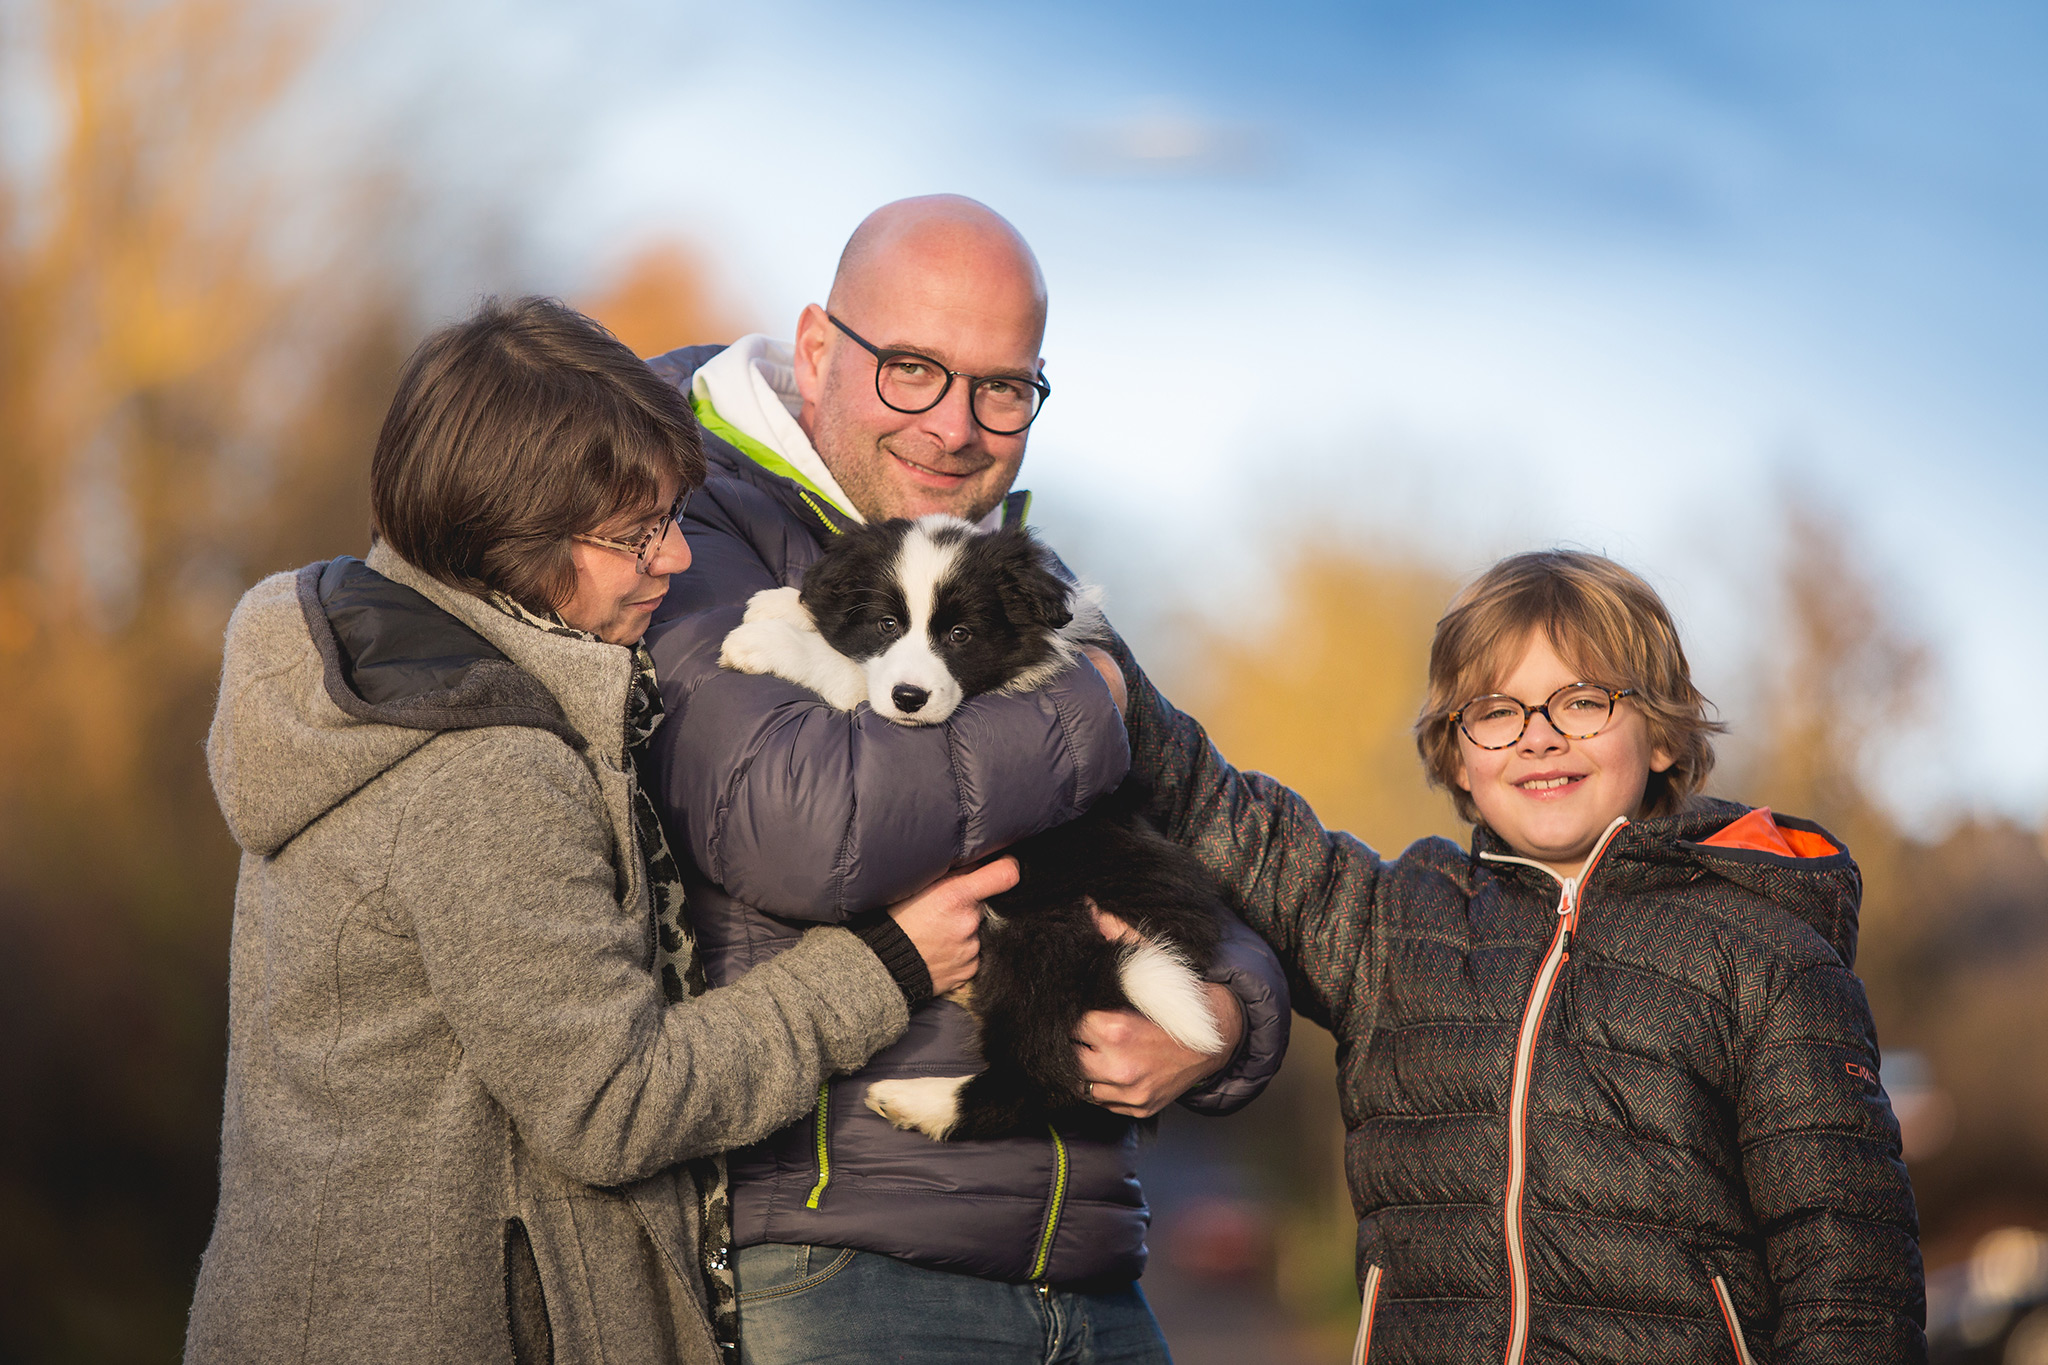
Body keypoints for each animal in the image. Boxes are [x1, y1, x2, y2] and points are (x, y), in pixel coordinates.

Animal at [724, 511, 1228, 1146]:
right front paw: (785, 602)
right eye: (887, 623)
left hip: (1044, 937)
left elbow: (849, 676)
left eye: (960, 635)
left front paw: (765, 641)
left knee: (1039, 1080)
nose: (909, 698)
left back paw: (918, 1102)